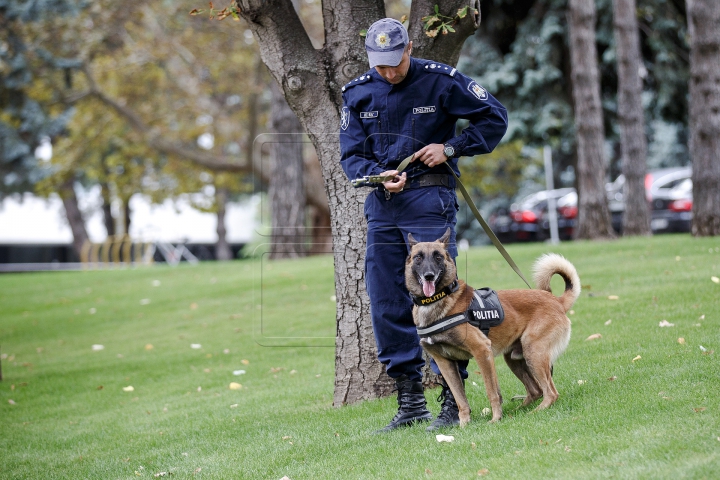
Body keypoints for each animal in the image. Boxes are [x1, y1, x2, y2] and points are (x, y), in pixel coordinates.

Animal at [408, 229, 584, 428]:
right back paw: (519, 411)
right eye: (418, 257)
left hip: (534, 352)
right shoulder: (444, 363)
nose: (429, 275)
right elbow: (460, 399)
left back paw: (535, 412)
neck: (437, 301)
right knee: (536, 390)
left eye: (438, 256)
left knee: (551, 392)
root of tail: (557, 301)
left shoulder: (482, 351)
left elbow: (492, 391)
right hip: (515, 358)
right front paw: (463, 426)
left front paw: (495, 419)